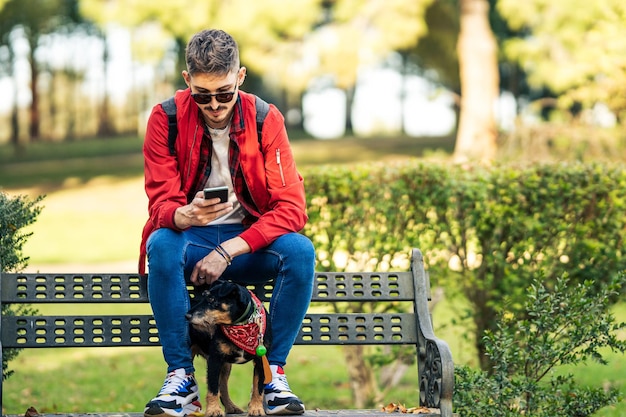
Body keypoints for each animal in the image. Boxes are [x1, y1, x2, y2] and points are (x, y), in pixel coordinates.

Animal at [186, 280, 272, 416]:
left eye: (211, 299)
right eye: (204, 296)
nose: (187, 315)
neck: (241, 326)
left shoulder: (261, 361)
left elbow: (258, 387)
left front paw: (256, 409)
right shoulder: (214, 360)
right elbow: (213, 388)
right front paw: (213, 410)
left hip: (226, 365)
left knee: (223, 387)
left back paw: (231, 408)